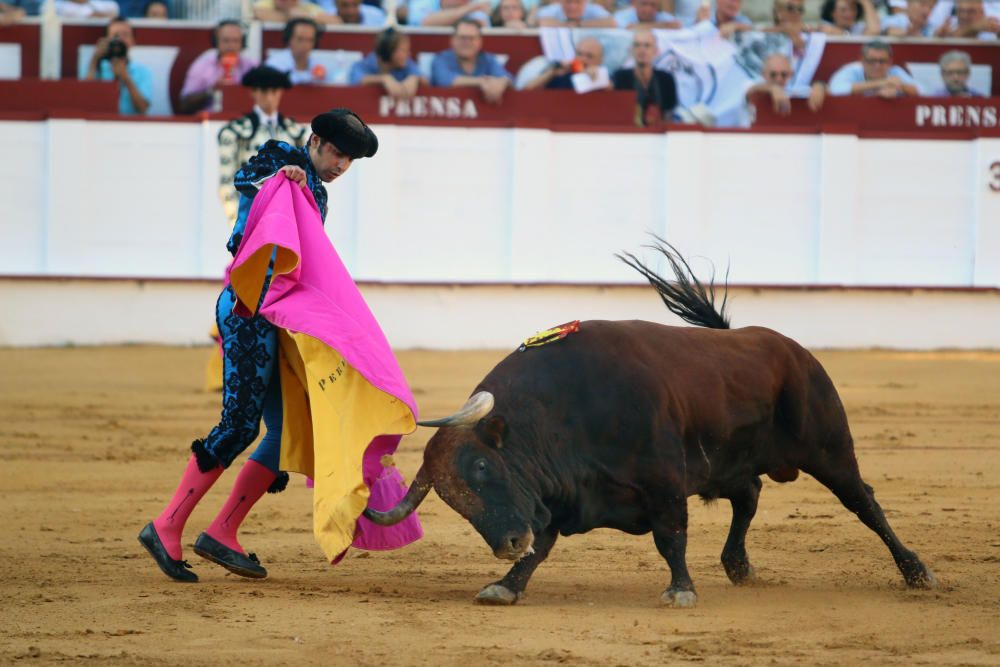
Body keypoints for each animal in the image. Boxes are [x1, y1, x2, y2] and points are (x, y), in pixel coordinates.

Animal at [368, 243, 936, 608]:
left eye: (484, 467)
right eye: (451, 500)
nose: (506, 541)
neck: (566, 411)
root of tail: (787, 348)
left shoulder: (663, 480)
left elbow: (671, 535)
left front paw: (681, 589)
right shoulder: (554, 496)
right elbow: (543, 544)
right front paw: (506, 584)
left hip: (829, 447)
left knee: (863, 502)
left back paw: (916, 571)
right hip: (729, 464)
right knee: (749, 496)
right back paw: (738, 565)